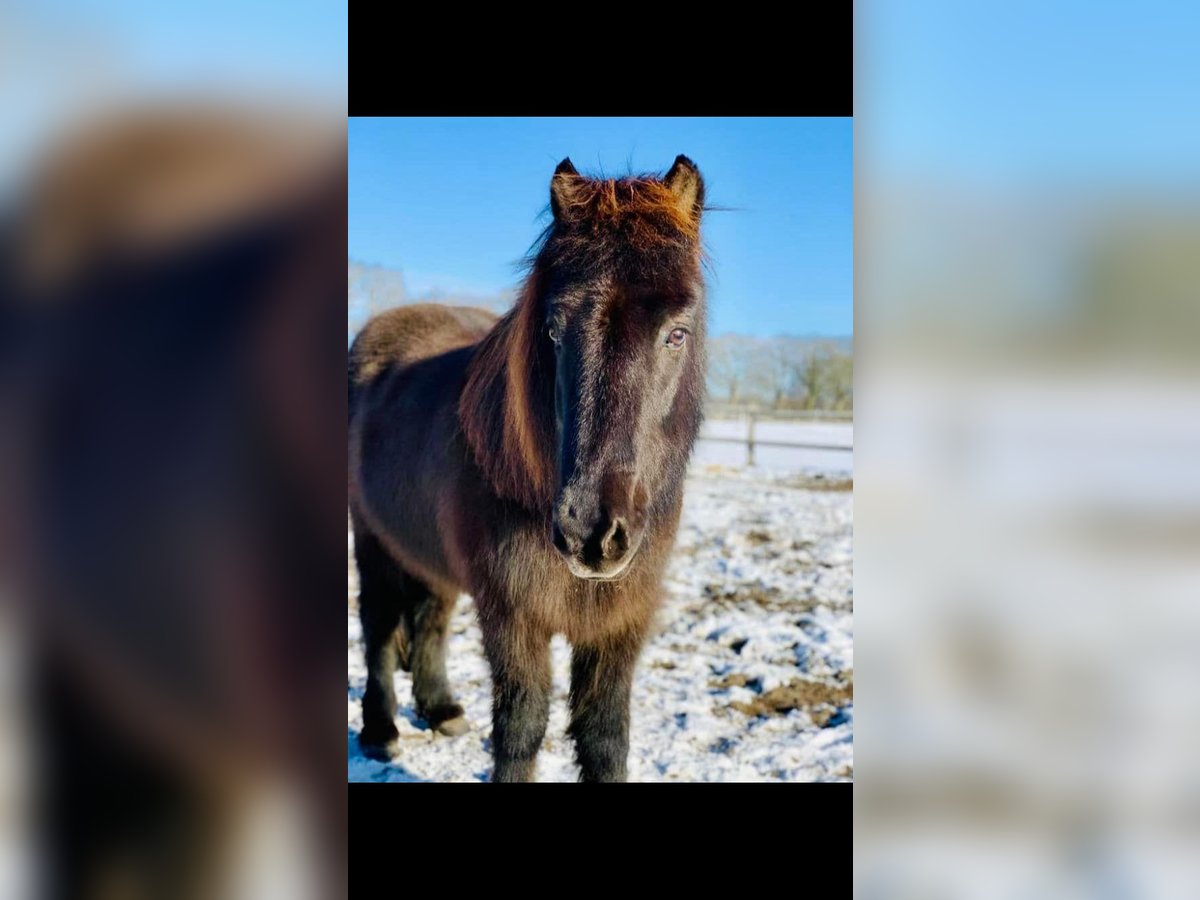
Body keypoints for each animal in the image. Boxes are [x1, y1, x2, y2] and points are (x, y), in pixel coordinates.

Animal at [348, 154, 705, 782]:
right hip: (372, 542)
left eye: (676, 333)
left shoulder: (621, 621)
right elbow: (521, 727)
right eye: (553, 330)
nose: (592, 533)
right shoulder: (514, 617)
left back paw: (441, 709)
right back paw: (380, 731)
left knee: (430, 617)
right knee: (379, 627)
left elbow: (605, 735)